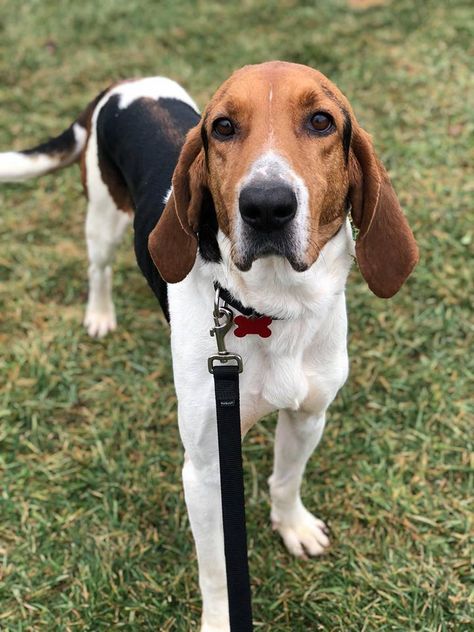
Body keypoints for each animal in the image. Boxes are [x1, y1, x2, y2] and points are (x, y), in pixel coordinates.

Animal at [0, 60, 416, 632]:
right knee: (98, 267)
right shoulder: (204, 470)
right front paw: (222, 619)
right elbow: (217, 566)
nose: (267, 206)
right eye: (222, 127)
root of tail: (123, 84)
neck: (272, 308)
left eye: (321, 121)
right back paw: (100, 315)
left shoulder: (309, 415)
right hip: (101, 220)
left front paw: (293, 527)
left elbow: (286, 480)